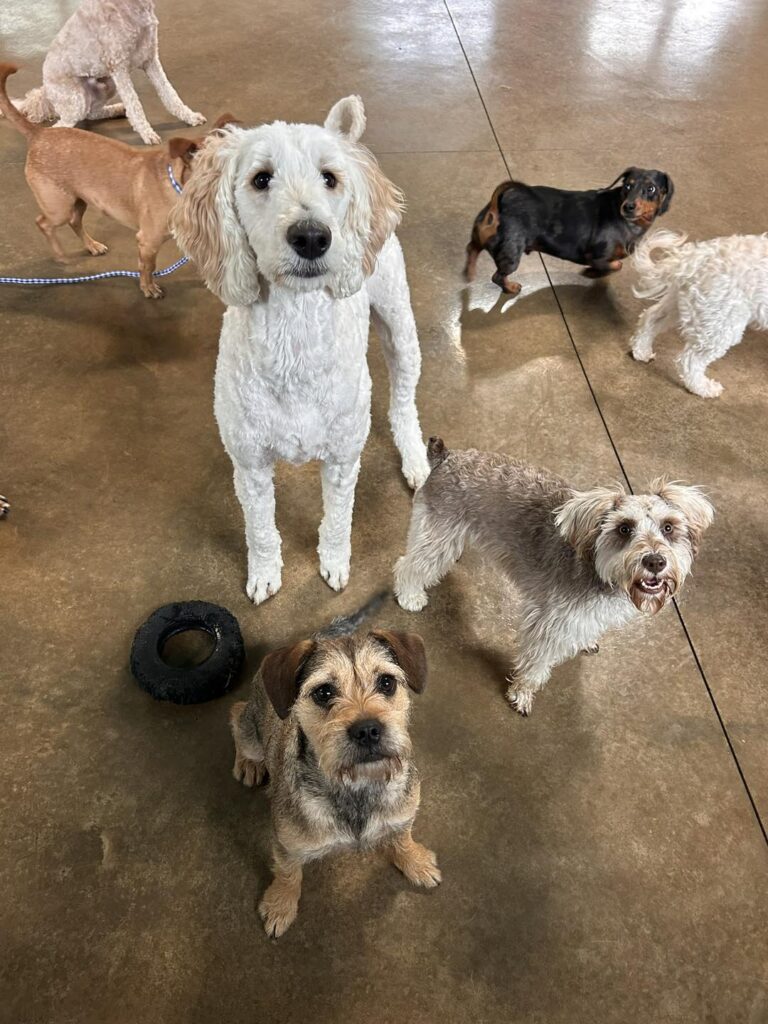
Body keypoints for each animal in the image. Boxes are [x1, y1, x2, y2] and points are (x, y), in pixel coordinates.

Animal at [0, 64, 233, 299]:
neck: (177, 185)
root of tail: (40, 133)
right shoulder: (147, 242)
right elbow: (147, 267)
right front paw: (148, 288)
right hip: (59, 208)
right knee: (43, 223)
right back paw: (60, 255)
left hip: (79, 200)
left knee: (74, 221)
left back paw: (92, 246)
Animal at [6, 0, 204, 145]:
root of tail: (45, 91)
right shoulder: (119, 68)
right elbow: (135, 105)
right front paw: (146, 133)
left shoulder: (150, 59)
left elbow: (170, 95)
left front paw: (190, 117)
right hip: (77, 99)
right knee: (62, 124)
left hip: (107, 86)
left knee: (91, 113)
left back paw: (117, 109)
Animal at [171, 96, 430, 602]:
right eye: (260, 178)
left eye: (329, 178)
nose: (312, 236)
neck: (295, 340)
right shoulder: (249, 466)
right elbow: (259, 530)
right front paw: (264, 573)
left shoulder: (343, 460)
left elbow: (337, 521)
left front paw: (333, 563)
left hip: (399, 325)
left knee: (403, 403)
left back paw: (414, 457)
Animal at [397, 442, 716, 720]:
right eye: (624, 528)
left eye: (668, 527)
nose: (655, 562)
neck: (598, 568)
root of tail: (447, 456)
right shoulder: (548, 624)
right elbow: (536, 664)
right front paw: (522, 694)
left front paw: (586, 642)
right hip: (438, 540)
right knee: (407, 566)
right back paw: (410, 596)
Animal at [630, 230, 768, 397]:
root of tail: (695, 257)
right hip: (721, 323)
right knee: (690, 360)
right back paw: (702, 388)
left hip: (684, 303)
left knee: (650, 318)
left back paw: (641, 351)